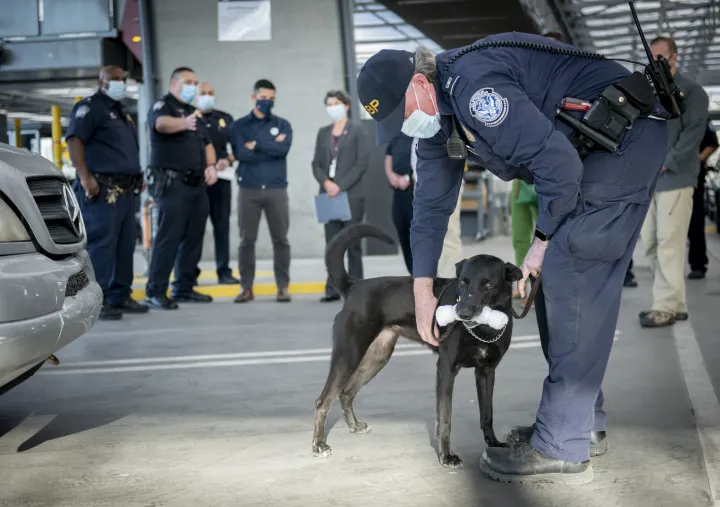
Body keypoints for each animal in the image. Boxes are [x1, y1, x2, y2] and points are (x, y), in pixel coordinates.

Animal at [310, 224, 524, 470]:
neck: (484, 328)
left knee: (346, 393)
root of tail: (355, 286)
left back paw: (354, 426)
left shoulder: (487, 371)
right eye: (463, 281)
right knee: (324, 400)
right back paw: (318, 445)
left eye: (488, 283)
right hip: (350, 354)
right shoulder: (446, 369)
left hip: (377, 357)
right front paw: (446, 456)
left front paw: (494, 443)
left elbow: (487, 414)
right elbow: (445, 418)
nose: (462, 313)